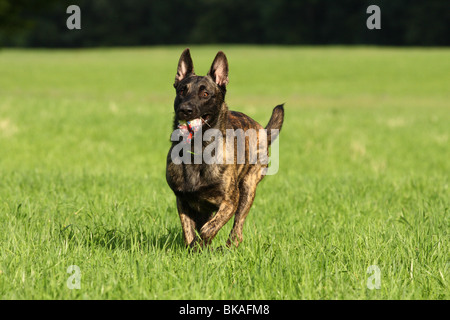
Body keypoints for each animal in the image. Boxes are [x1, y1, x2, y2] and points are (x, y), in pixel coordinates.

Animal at [165, 47, 284, 249]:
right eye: (182, 91)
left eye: (205, 94)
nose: (185, 110)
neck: (198, 151)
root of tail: (262, 130)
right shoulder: (183, 201)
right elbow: (189, 232)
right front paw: (195, 248)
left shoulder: (229, 202)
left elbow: (208, 229)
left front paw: (205, 245)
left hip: (248, 190)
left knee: (237, 228)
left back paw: (229, 246)